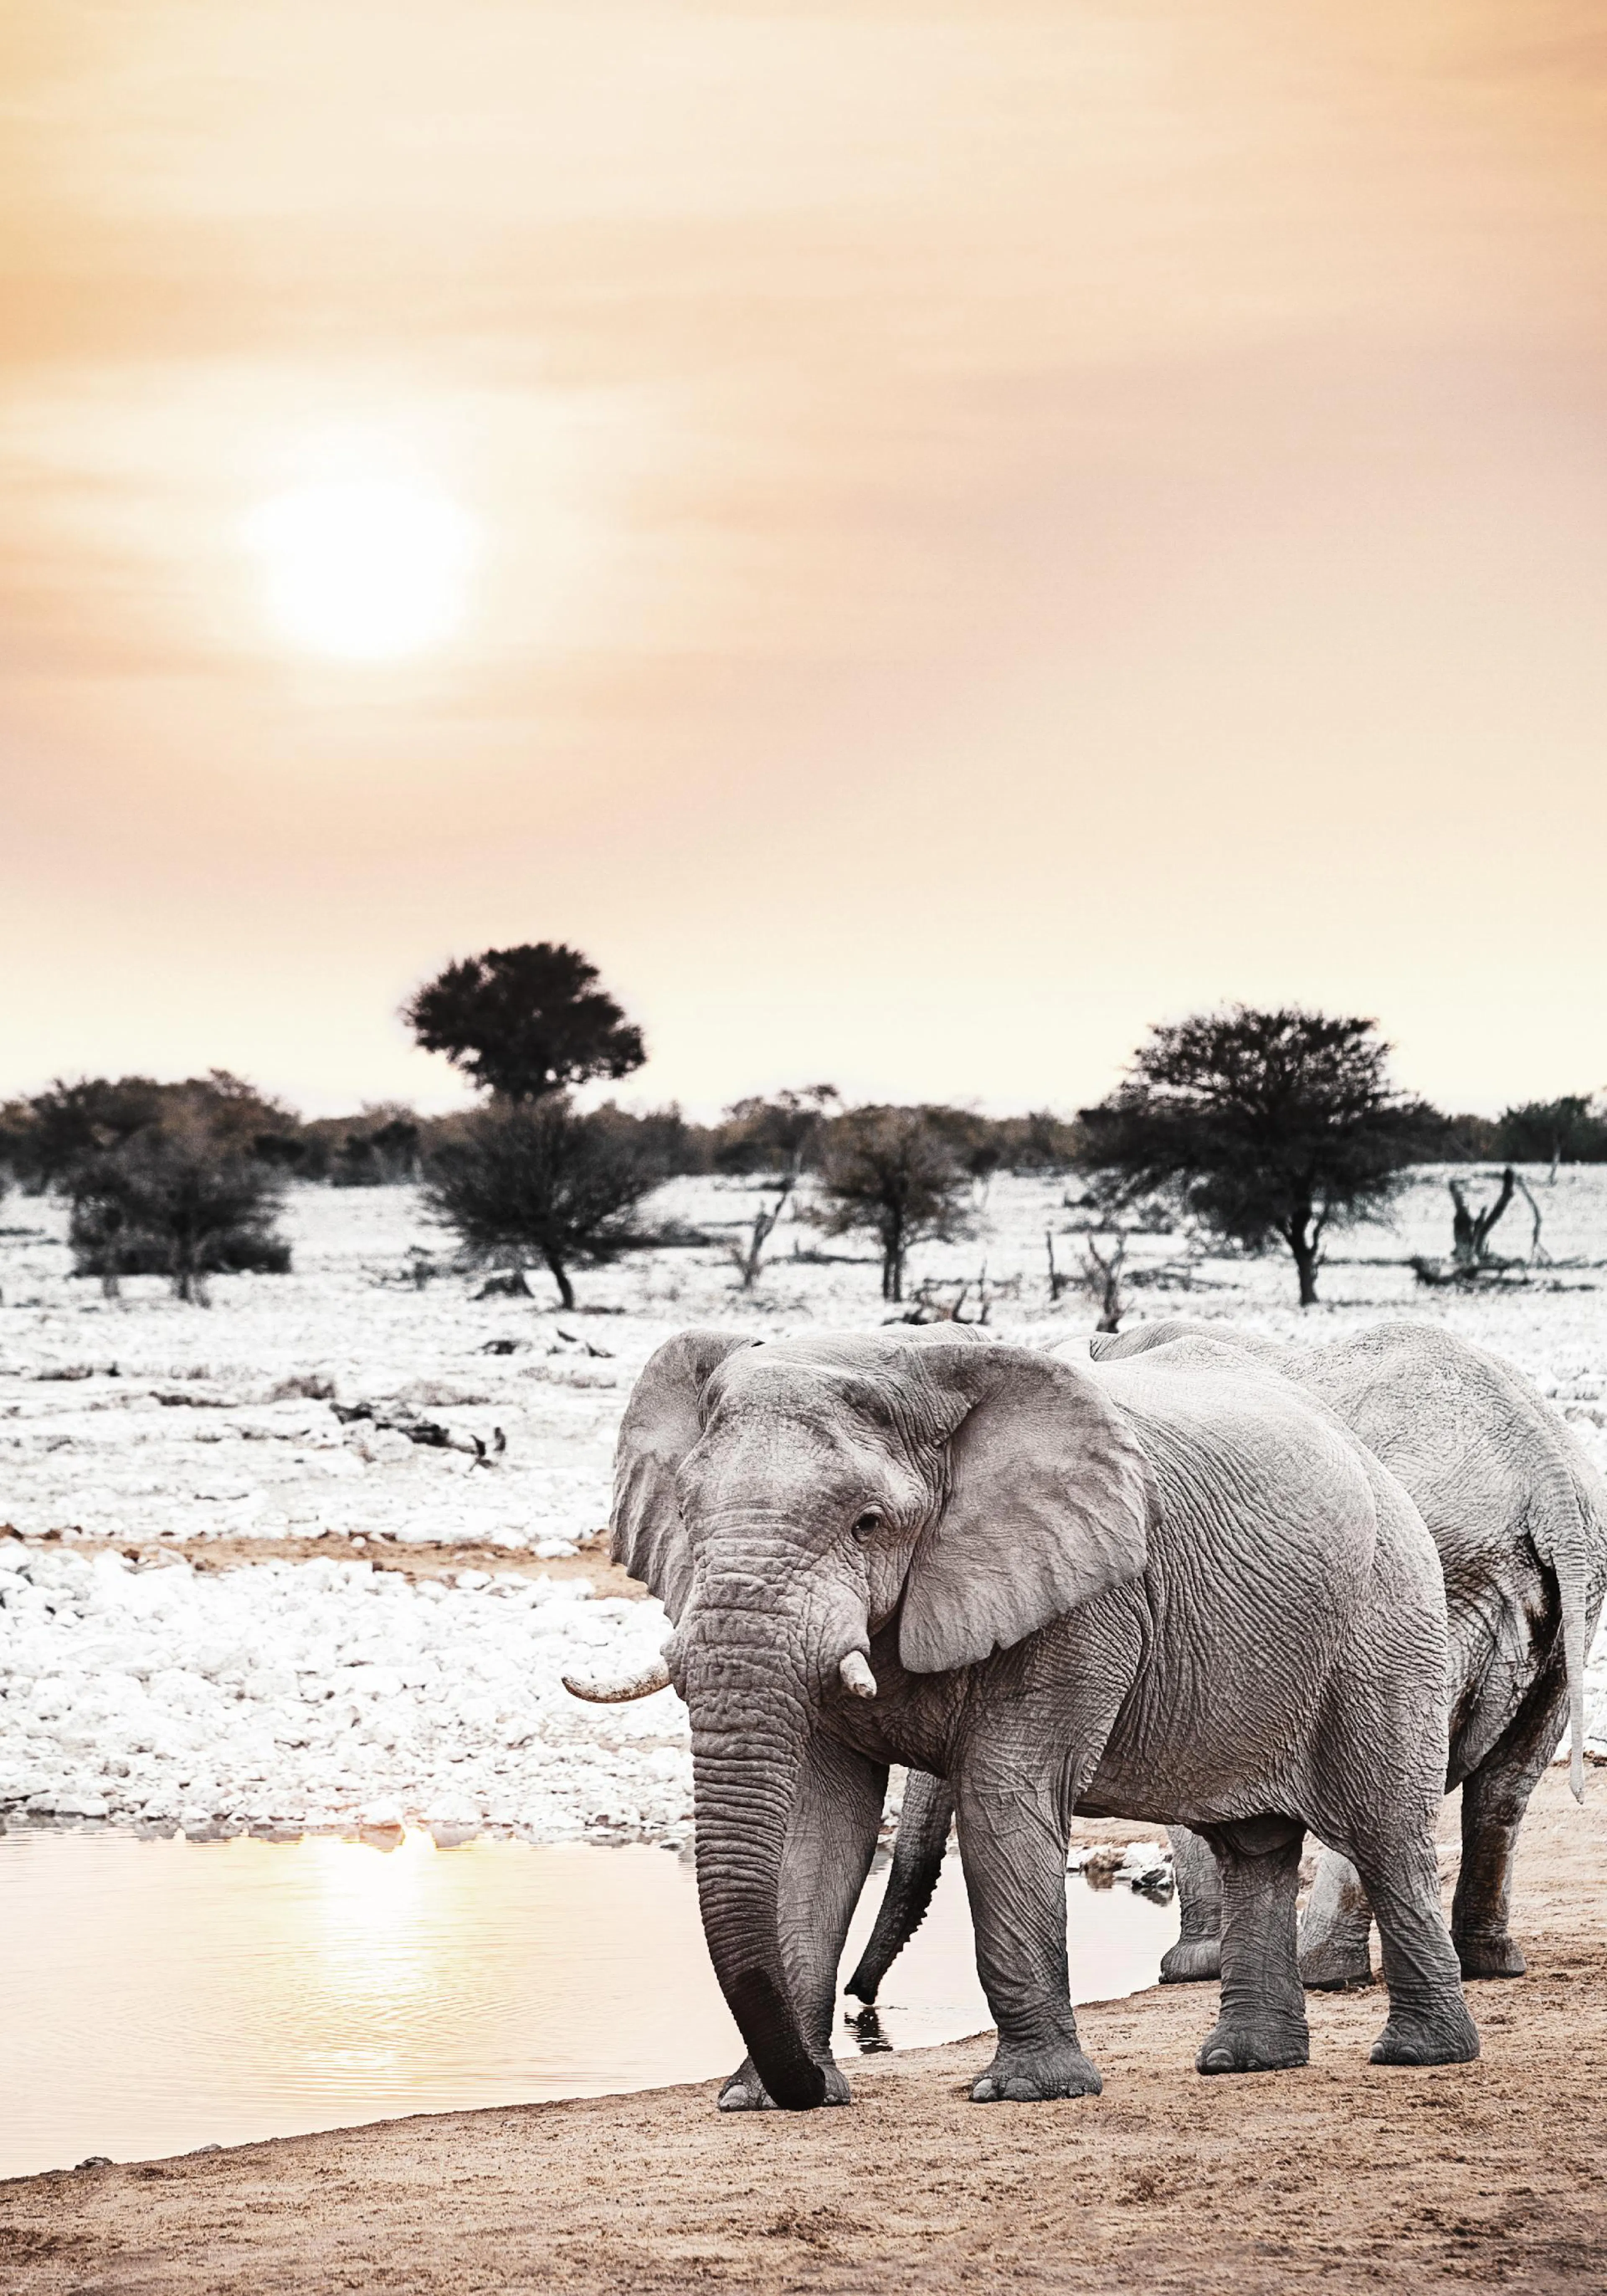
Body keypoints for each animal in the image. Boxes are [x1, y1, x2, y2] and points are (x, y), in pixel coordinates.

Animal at [567, 1325, 1478, 2112]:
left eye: (868, 1523)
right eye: (687, 1513)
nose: (863, 2017)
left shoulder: (1089, 1597)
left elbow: (1004, 1794)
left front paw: (1027, 2092)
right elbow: (818, 1827)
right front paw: (759, 2101)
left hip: (1387, 1621)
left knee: (1385, 1834)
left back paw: (1421, 2055)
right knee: (1253, 1846)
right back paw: (1245, 2062)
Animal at [850, 1319, 1605, 2011]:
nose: (860, 2005)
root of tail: (1547, 1470)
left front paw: (1191, 1968)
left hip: (1426, 1579)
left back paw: (1323, 1972)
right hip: (1562, 1597)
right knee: (1505, 1785)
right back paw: (1487, 1964)